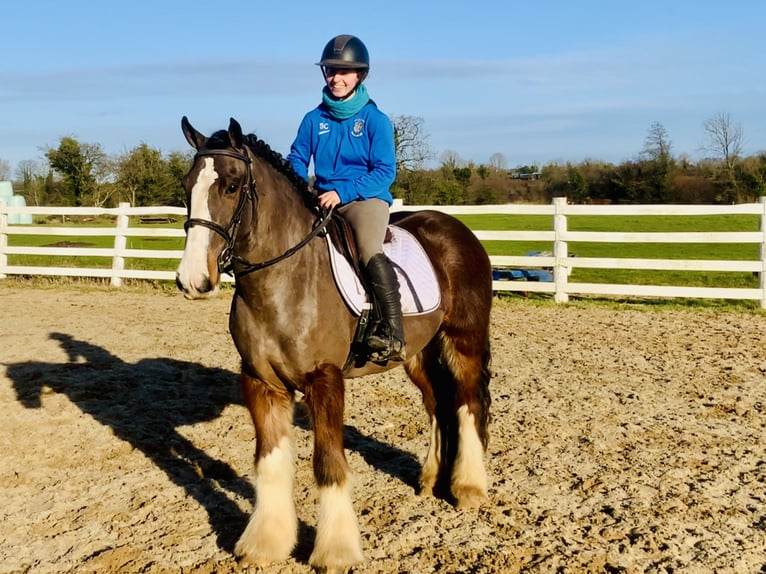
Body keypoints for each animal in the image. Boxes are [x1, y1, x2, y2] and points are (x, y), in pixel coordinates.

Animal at [177, 117, 496, 572]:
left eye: (232, 186)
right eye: (187, 185)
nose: (192, 280)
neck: (286, 280)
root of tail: (458, 230)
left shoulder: (324, 380)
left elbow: (328, 463)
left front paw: (335, 551)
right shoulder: (260, 382)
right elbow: (269, 462)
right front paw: (265, 543)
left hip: (463, 339)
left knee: (468, 400)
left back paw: (468, 488)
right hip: (418, 354)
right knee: (438, 403)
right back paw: (431, 479)